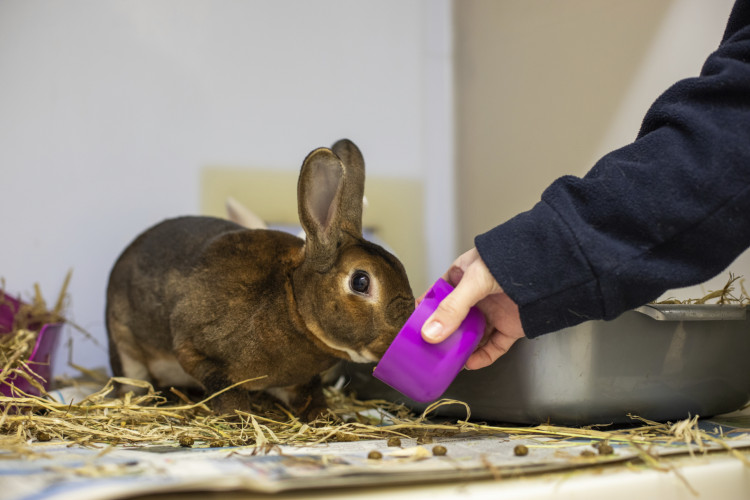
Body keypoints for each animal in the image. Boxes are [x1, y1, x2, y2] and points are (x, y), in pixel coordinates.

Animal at [104, 139, 418, 420]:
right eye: (360, 282)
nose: (399, 332)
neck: (293, 303)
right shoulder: (196, 351)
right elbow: (224, 389)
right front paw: (238, 418)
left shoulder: (296, 380)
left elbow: (311, 395)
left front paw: (325, 417)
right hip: (125, 348)